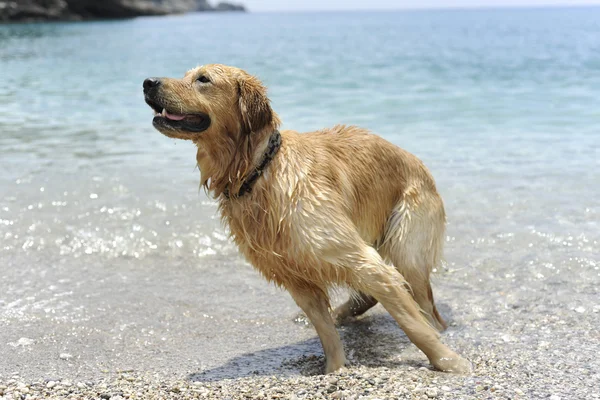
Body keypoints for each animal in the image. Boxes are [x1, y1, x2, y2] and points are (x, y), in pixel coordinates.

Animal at [143, 64, 472, 374]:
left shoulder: (358, 257)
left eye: (203, 79)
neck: (259, 170)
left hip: (408, 244)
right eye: (187, 74)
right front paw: (334, 370)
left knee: (426, 308)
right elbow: (326, 332)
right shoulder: (295, 277)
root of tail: (419, 163)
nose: (148, 82)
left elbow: (413, 324)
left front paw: (449, 361)